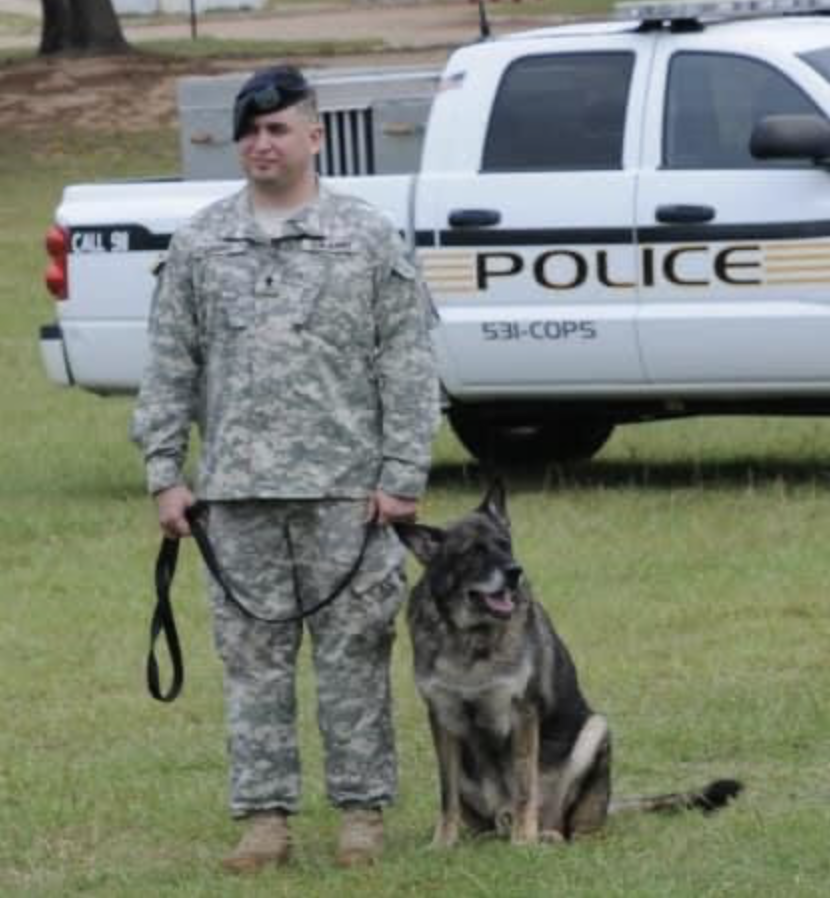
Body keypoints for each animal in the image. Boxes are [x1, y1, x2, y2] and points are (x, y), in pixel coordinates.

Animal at [394, 486, 744, 844]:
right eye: (472, 553)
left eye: (504, 544)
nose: (515, 572)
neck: (469, 637)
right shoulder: (442, 718)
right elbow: (446, 795)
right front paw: (443, 842)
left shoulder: (522, 712)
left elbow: (524, 787)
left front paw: (523, 841)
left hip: (595, 732)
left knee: (572, 829)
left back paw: (546, 836)